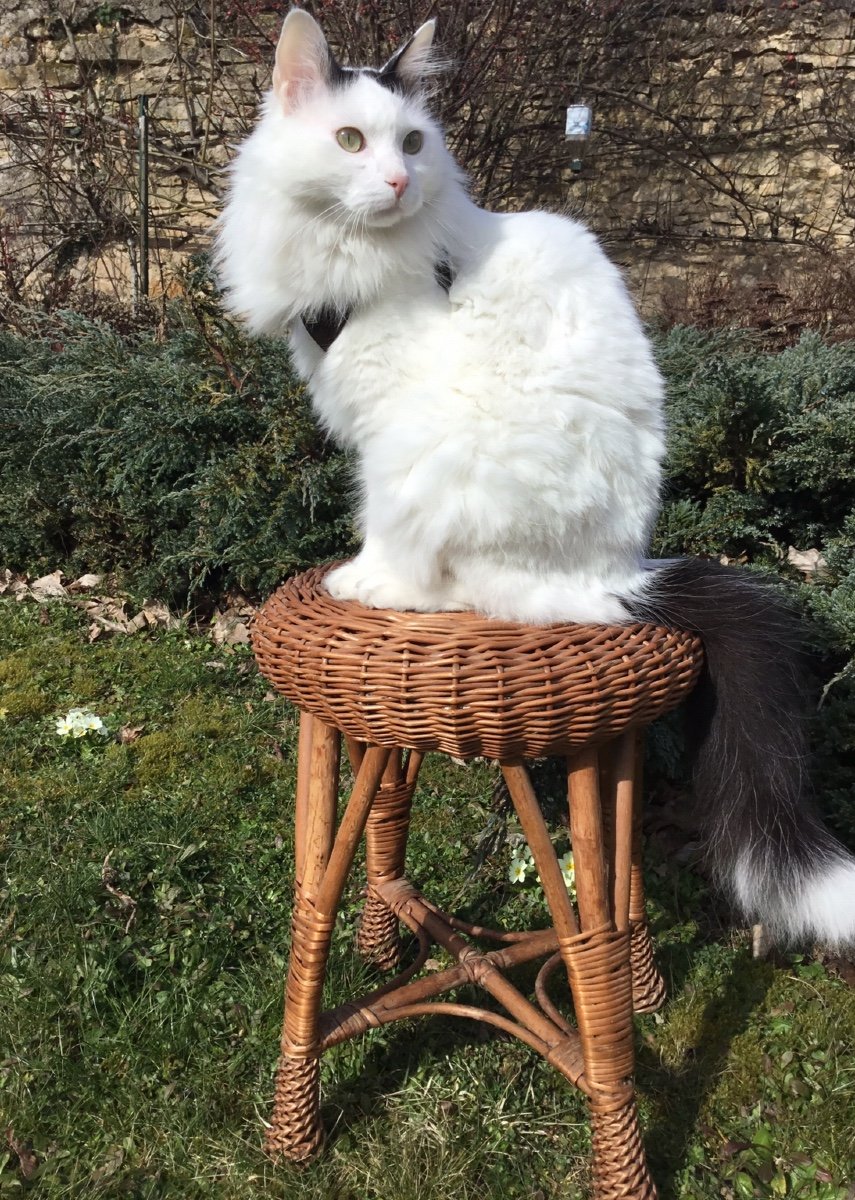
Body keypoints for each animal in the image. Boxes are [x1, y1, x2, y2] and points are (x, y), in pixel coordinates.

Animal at [212, 9, 855, 945]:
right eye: (350, 140)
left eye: (411, 141)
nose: (399, 180)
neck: (355, 254)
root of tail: (622, 578)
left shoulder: (384, 433)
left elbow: (383, 533)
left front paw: (361, 575)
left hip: (442, 460)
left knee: (456, 585)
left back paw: (382, 587)